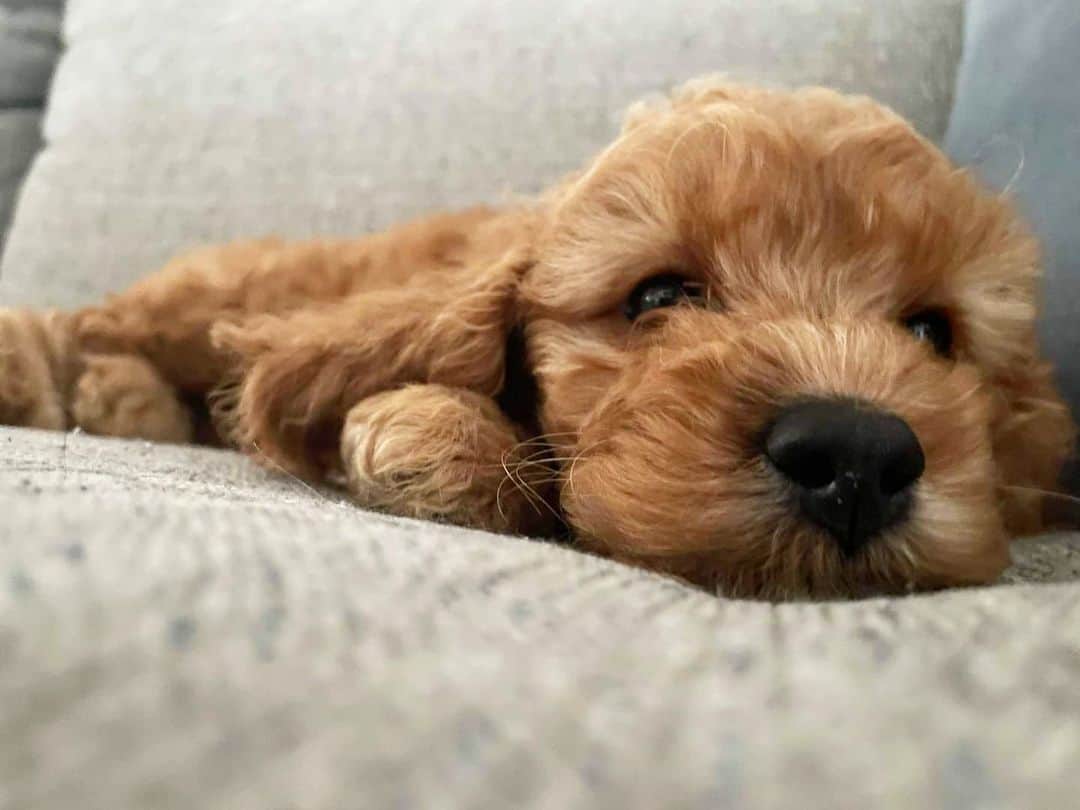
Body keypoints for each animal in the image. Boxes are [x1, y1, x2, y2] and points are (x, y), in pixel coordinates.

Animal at [0, 79, 1071, 600]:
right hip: (212, 294)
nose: (856, 456)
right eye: (657, 296)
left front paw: (437, 432)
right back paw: (42, 376)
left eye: (932, 329)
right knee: (92, 318)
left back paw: (121, 400)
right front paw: (435, 432)